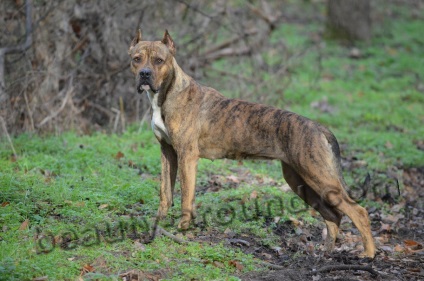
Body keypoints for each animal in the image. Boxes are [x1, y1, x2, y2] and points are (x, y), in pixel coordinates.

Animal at [128, 30, 374, 256]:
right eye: (137, 58)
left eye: (159, 60)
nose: (145, 74)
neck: (167, 94)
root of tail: (319, 128)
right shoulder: (167, 152)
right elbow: (165, 194)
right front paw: (157, 226)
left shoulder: (187, 155)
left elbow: (186, 197)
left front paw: (182, 229)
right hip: (300, 181)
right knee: (333, 215)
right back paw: (326, 252)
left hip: (319, 177)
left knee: (359, 212)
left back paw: (368, 254)